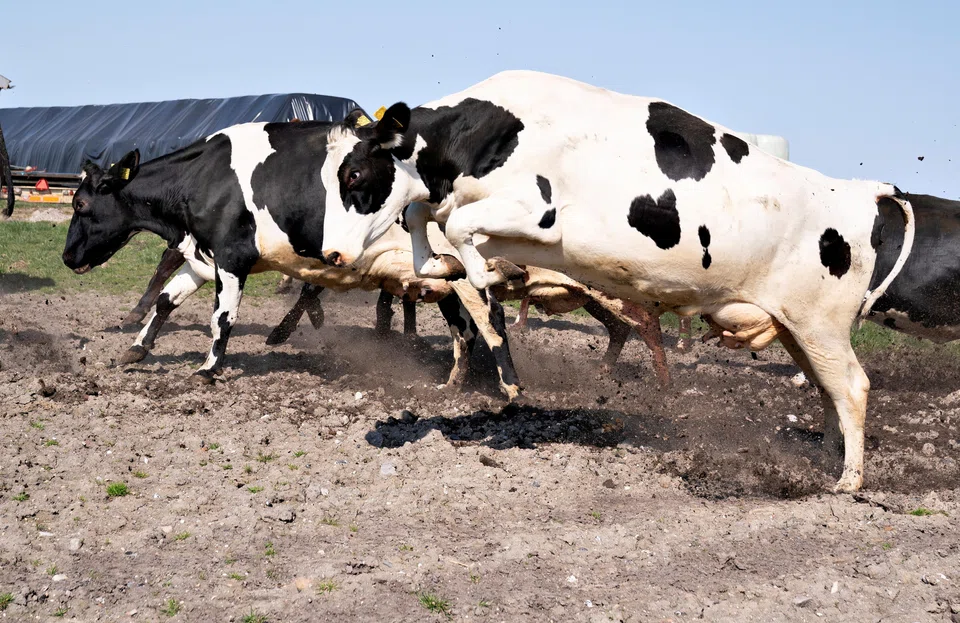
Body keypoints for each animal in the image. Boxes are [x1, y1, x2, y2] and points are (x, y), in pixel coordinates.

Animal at [59, 117, 523, 400]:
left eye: (81, 204)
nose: (66, 256)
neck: (204, 178)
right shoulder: (200, 257)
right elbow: (164, 301)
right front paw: (136, 348)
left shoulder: (232, 258)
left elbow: (222, 318)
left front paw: (208, 368)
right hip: (440, 277)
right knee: (464, 330)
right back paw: (453, 383)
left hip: (467, 271)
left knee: (491, 320)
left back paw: (512, 387)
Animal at [315, 70, 915, 492]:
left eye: (355, 173)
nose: (331, 251)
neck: (494, 131)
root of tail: (857, 193)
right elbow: (425, 216)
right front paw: (444, 265)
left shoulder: (536, 211)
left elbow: (457, 227)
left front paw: (484, 271)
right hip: (797, 329)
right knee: (827, 390)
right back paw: (828, 459)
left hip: (822, 324)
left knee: (852, 387)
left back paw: (848, 481)